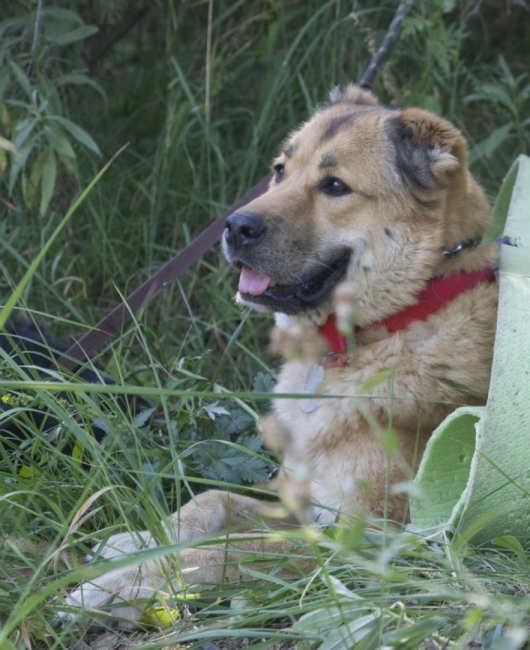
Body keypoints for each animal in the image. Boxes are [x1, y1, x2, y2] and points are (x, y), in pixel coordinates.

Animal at [59, 85, 498, 624]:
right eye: (280, 171)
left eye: (335, 185)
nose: (234, 226)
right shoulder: (295, 496)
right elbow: (213, 501)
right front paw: (139, 540)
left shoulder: (363, 541)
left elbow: (223, 552)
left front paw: (119, 585)